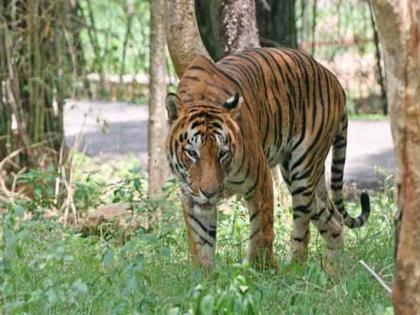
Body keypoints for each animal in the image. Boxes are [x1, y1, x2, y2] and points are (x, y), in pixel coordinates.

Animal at [166, 47, 370, 272]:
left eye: (222, 153)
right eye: (192, 153)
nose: (210, 194)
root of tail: (336, 82)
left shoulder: (260, 179)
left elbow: (261, 229)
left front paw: (263, 268)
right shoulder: (191, 194)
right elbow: (200, 240)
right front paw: (203, 274)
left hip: (303, 170)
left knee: (302, 227)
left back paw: (293, 269)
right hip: (300, 176)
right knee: (334, 221)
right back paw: (334, 271)